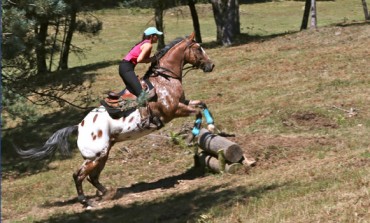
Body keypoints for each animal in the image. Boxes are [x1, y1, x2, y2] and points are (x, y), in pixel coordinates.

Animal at [15, 31, 217, 207]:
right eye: (198, 49)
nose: (211, 66)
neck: (165, 78)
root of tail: (79, 126)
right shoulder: (173, 110)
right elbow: (197, 113)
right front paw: (192, 136)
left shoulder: (183, 103)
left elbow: (203, 104)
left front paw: (212, 127)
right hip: (95, 155)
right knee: (78, 175)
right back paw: (86, 202)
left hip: (103, 153)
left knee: (92, 177)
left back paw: (108, 193)